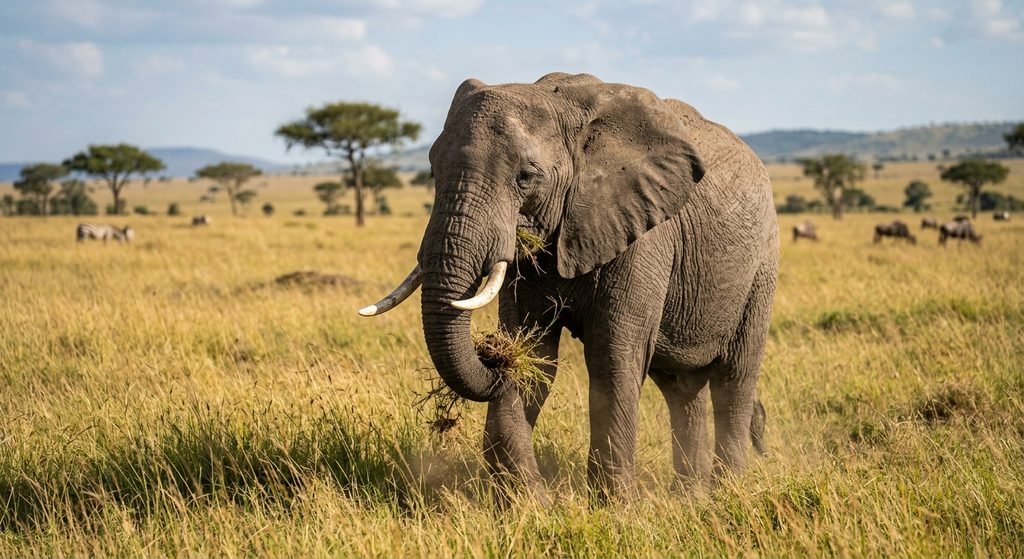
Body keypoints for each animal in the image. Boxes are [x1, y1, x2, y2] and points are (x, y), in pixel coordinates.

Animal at [360, 73, 779, 502]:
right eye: (432, 170)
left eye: (526, 177)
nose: (492, 354)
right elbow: (537, 354)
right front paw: (528, 504)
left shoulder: (645, 234)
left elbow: (613, 356)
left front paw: (613, 507)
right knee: (681, 387)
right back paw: (688, 498)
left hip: (761, 266)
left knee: (734, 379)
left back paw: (726, 493)